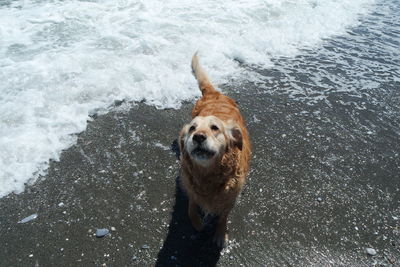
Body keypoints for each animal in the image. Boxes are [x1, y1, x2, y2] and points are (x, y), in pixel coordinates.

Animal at [178, 53, 250, 248]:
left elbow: (223, 216)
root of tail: (213, 93)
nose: (198, 137)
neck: (208, 175)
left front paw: (220, 233)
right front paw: (197, 222)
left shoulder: (230, 197)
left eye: (215, 128)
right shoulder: (189, 184)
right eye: (192, 129)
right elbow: (191, 207)